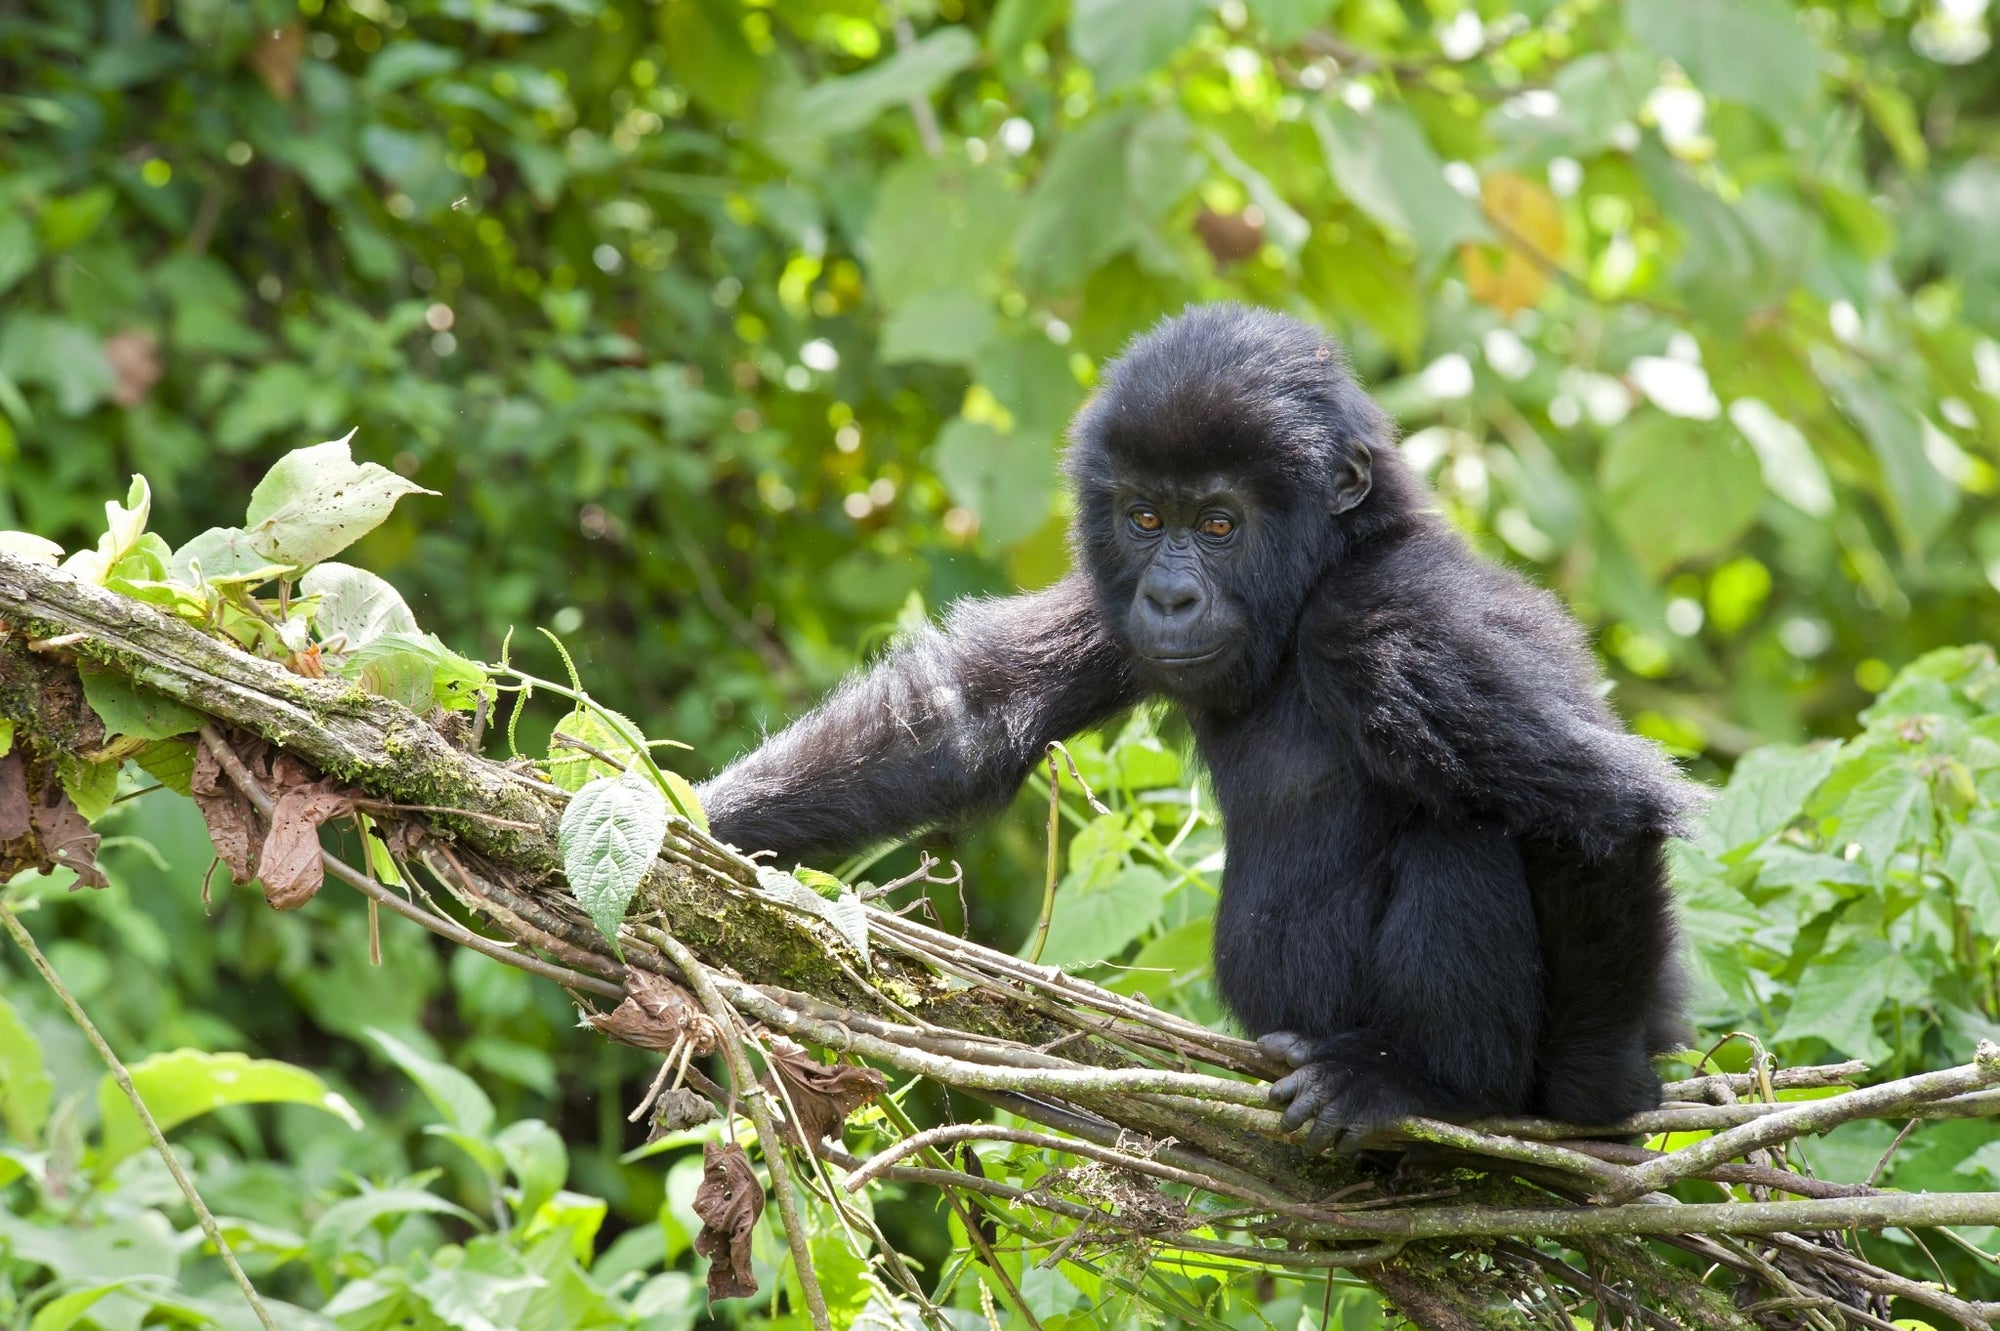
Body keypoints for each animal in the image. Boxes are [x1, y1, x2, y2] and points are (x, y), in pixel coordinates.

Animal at [700, 297, 1688, 1143]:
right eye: (1145, 516)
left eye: (1219, 524)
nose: (1171, 598)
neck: (1325, 574)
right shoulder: (1113, 594)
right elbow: (958, 718)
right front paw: (692, 817)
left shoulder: (1399, 625)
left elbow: (1602, 815)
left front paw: (1595, 1094)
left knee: (1465, 830)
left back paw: (1434, 1082)